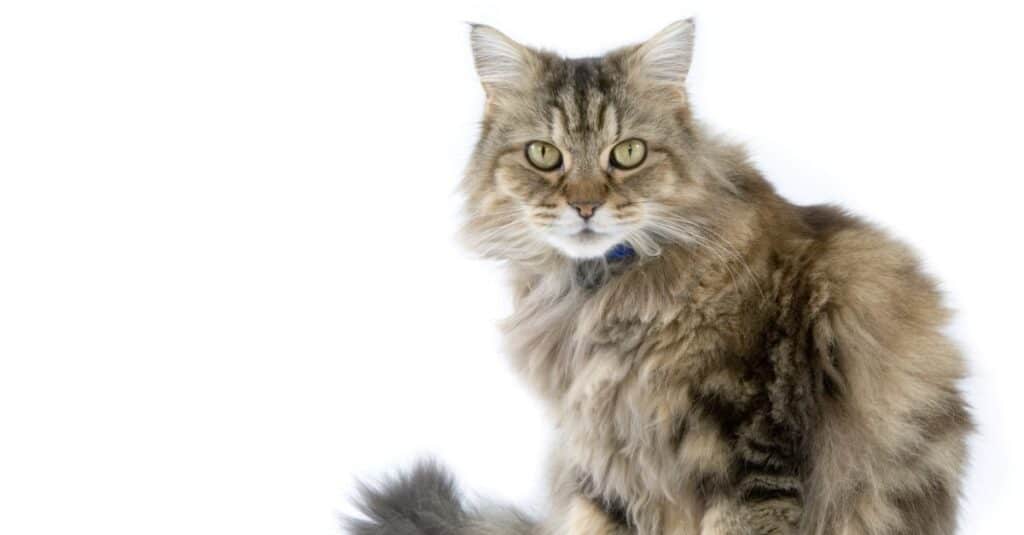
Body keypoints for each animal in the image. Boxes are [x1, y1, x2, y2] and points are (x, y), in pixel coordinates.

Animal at [348, 18, 970, 528]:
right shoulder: (602, 454)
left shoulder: (756, 444)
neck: (600, 299)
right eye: (544, 155)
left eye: (627, 153)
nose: (585, 206)